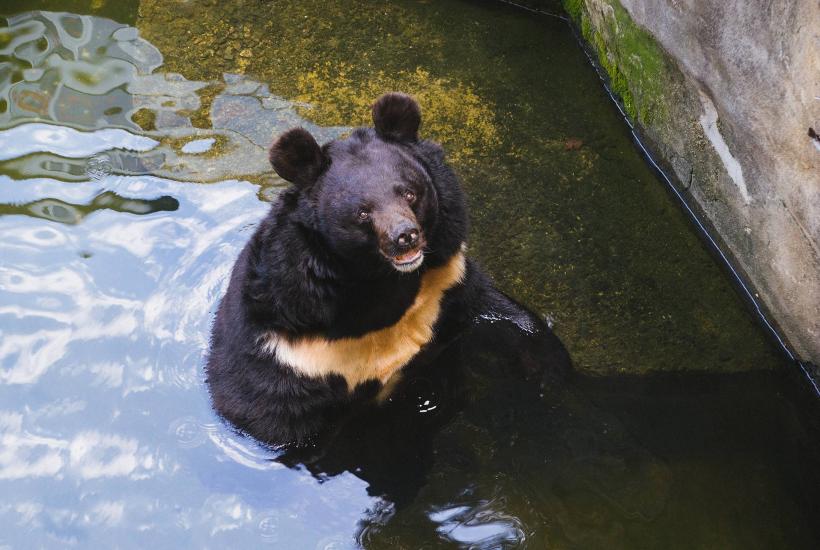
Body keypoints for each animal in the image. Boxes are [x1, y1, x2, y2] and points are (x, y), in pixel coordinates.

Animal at [205, 92, 572, 453]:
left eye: (409, 192)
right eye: (363, 212)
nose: (405, 236)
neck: (383, 283)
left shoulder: (444, 281)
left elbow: (506, 317)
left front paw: (553, 372)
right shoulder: (292, 354)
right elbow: (281, 418)